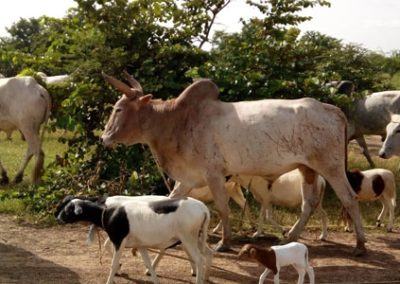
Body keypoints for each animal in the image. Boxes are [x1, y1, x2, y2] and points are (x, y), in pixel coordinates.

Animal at [57, 195, 212, 284]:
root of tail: (203, 208)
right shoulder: (141, 245)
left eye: (69, 209)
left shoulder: (118, 241)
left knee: (199, 259)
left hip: (188, 238)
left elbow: (114, 264)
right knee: (207, 254)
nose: (58, 218)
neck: (107, 212)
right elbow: (149, 264)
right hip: (196, 237)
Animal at [101, 72, 368, 256]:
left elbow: (223, 207)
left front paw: (224, 242)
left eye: (118, 109)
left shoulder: (214, 175)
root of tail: (333, 109)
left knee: (350, 199)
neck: (176, 120)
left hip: (330, 167)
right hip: (307, 169)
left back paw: (360, 245)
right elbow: (168, 200)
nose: (104, 138)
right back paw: (288, 237)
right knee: (309, 203)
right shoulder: (188, 178)